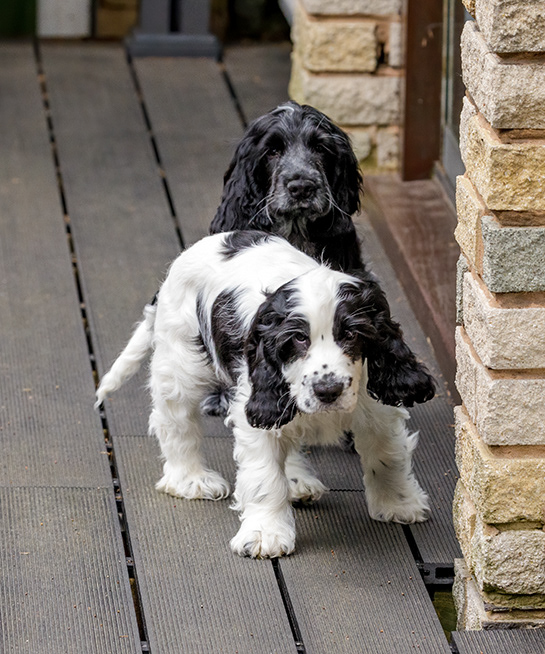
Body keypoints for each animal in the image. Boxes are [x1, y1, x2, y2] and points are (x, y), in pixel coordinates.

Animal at [96, 232, 433, 558]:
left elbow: (387, 455)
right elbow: (265, 478)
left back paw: (296, 481)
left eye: (351, 334)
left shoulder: (376, 407)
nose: (327, 391)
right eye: (298, 338)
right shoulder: (257, 406)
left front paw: (398, 505)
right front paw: (264, 535)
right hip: (180, 364)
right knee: (176, 423)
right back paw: (191, 479)